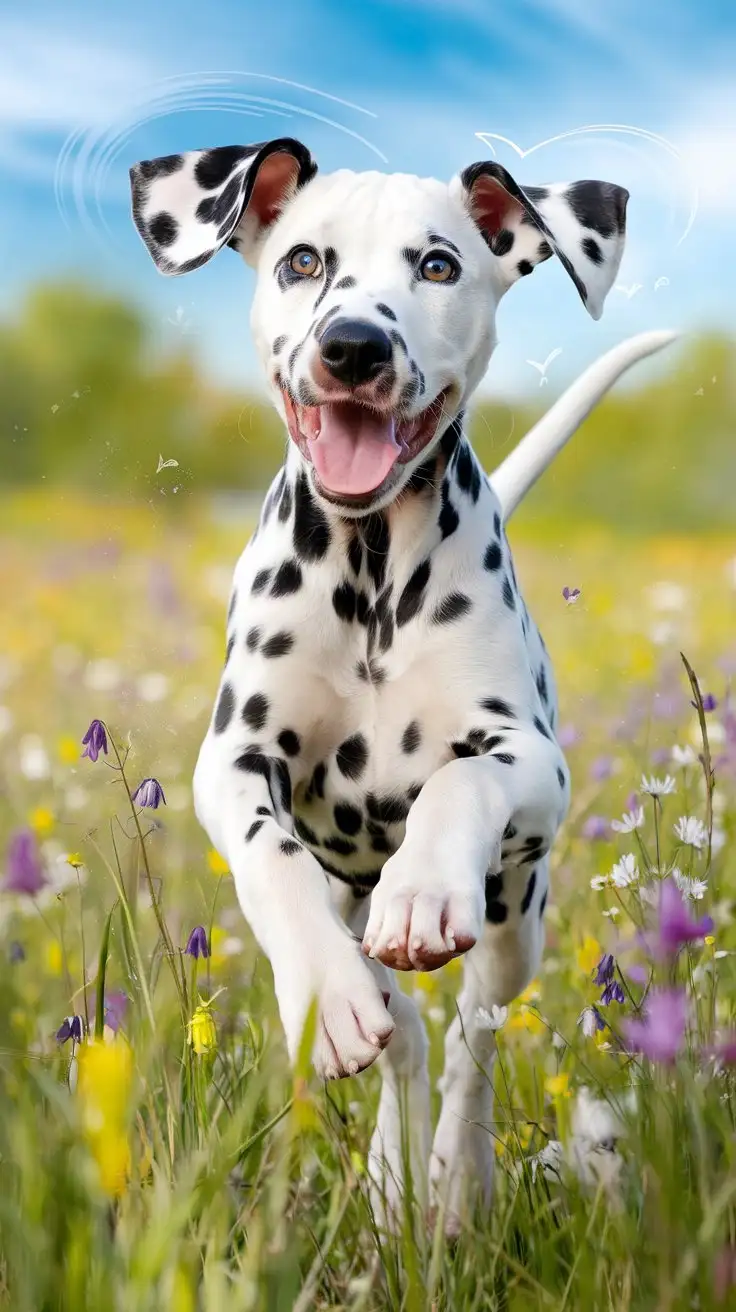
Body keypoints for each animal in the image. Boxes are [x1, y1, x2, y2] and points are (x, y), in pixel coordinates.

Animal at [130, 143, 671, 1228]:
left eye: (437, 264)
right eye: (303, 261)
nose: (353, 347)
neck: (373, 565)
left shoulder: (531, 761)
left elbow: (459, 781)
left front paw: (422, 891)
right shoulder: (233, 761)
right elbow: (271, 860)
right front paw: (329, 997)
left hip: (518, 917)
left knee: (472, 1032)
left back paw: (454, 1182)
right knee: (407, 1035)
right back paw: (389, 1163)